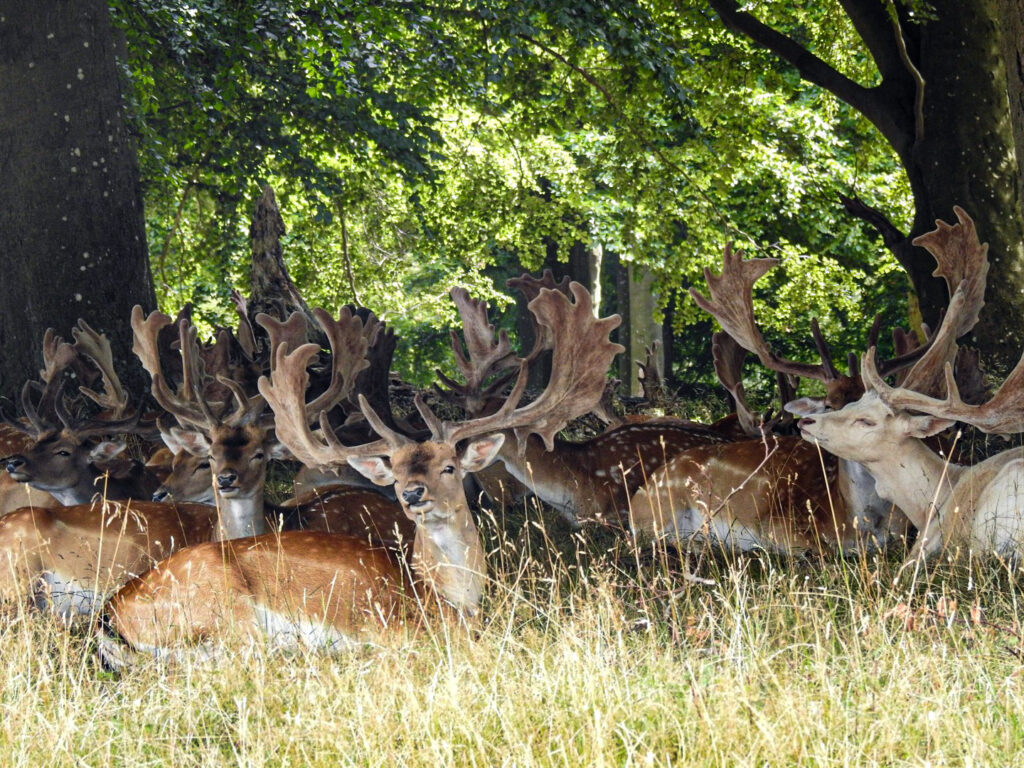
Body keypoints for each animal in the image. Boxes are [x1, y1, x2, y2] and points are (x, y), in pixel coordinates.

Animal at [99, 280, 618, 663]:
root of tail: (110, 615)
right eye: (397, 472)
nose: (412, 494)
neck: (446, 598)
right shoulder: (397, 628)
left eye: (449, 466)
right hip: (227, 614)